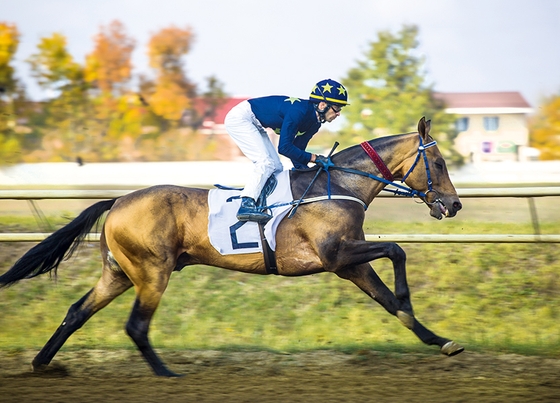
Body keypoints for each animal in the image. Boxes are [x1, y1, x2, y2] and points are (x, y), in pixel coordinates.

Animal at [0, 117, 464, 378]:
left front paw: (442, 340)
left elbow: (387, 300)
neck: (340, 185)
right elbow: (397, 251)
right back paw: (166, 374)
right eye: (440, 163)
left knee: (77, 312)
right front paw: (410, 299)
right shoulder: (337, 256)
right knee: (136, 325)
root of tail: (117, 201)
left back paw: (43, 364)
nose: (455, 204)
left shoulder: (351, 263)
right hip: (152, 272)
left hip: (118, 273)